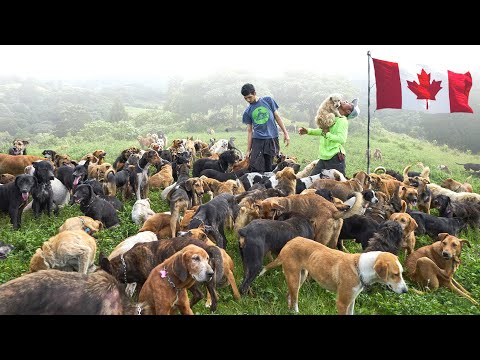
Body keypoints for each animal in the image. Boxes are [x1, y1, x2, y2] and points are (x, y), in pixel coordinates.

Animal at [260, 236, 406, 316]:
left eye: (401, 273)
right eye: (395, 274)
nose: (405, 290)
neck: (360, 268)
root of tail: (289, 242)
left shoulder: (351, 300)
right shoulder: (342, 303)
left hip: (300, 277)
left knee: (289, 295)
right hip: (295, 279)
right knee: (294, 299)